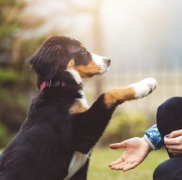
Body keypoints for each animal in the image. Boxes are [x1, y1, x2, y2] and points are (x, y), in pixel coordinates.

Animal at [0, 35, 157, 180]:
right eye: (82, 51)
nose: (109, 60)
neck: (60, 86)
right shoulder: (81, 135)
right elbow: (106, 95)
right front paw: (144, 85)